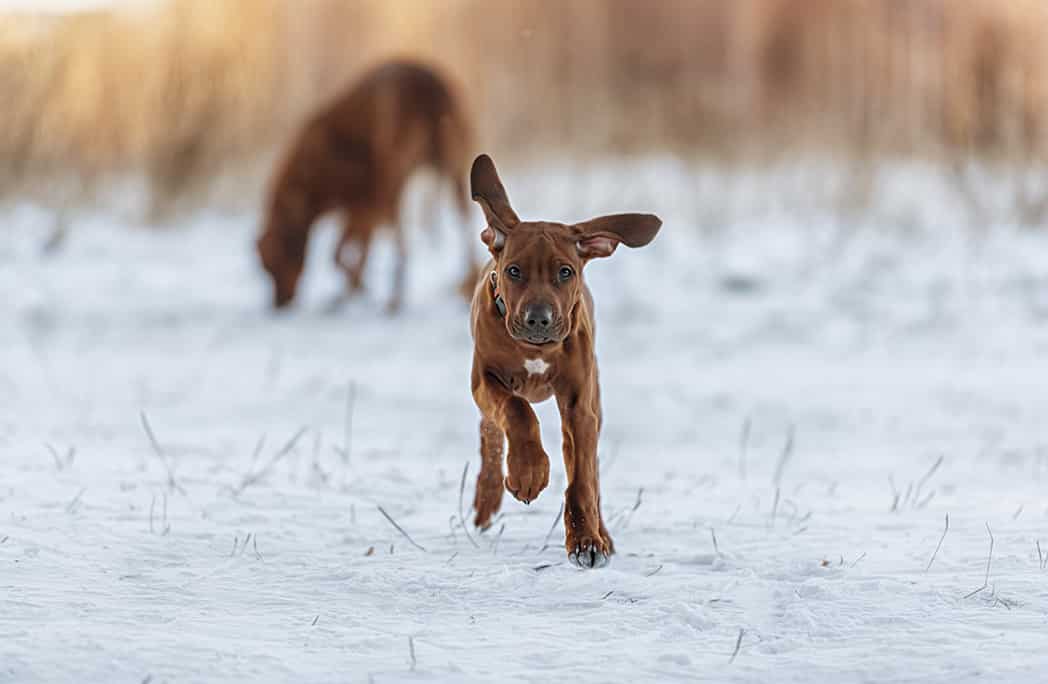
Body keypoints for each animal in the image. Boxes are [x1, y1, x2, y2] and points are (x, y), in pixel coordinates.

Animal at [256, 58, 475, 310]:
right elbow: (355, 254)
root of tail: (430, 84)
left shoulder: (362, 207)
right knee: (464, 225)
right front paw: (353, 288)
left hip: (393, 179)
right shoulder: (365, 213)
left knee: (402, 244)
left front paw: (355, 287)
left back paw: (395, 298)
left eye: (271, 264)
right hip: (455, 171)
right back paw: (469, 284)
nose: (278, 305)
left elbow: (337, 254)